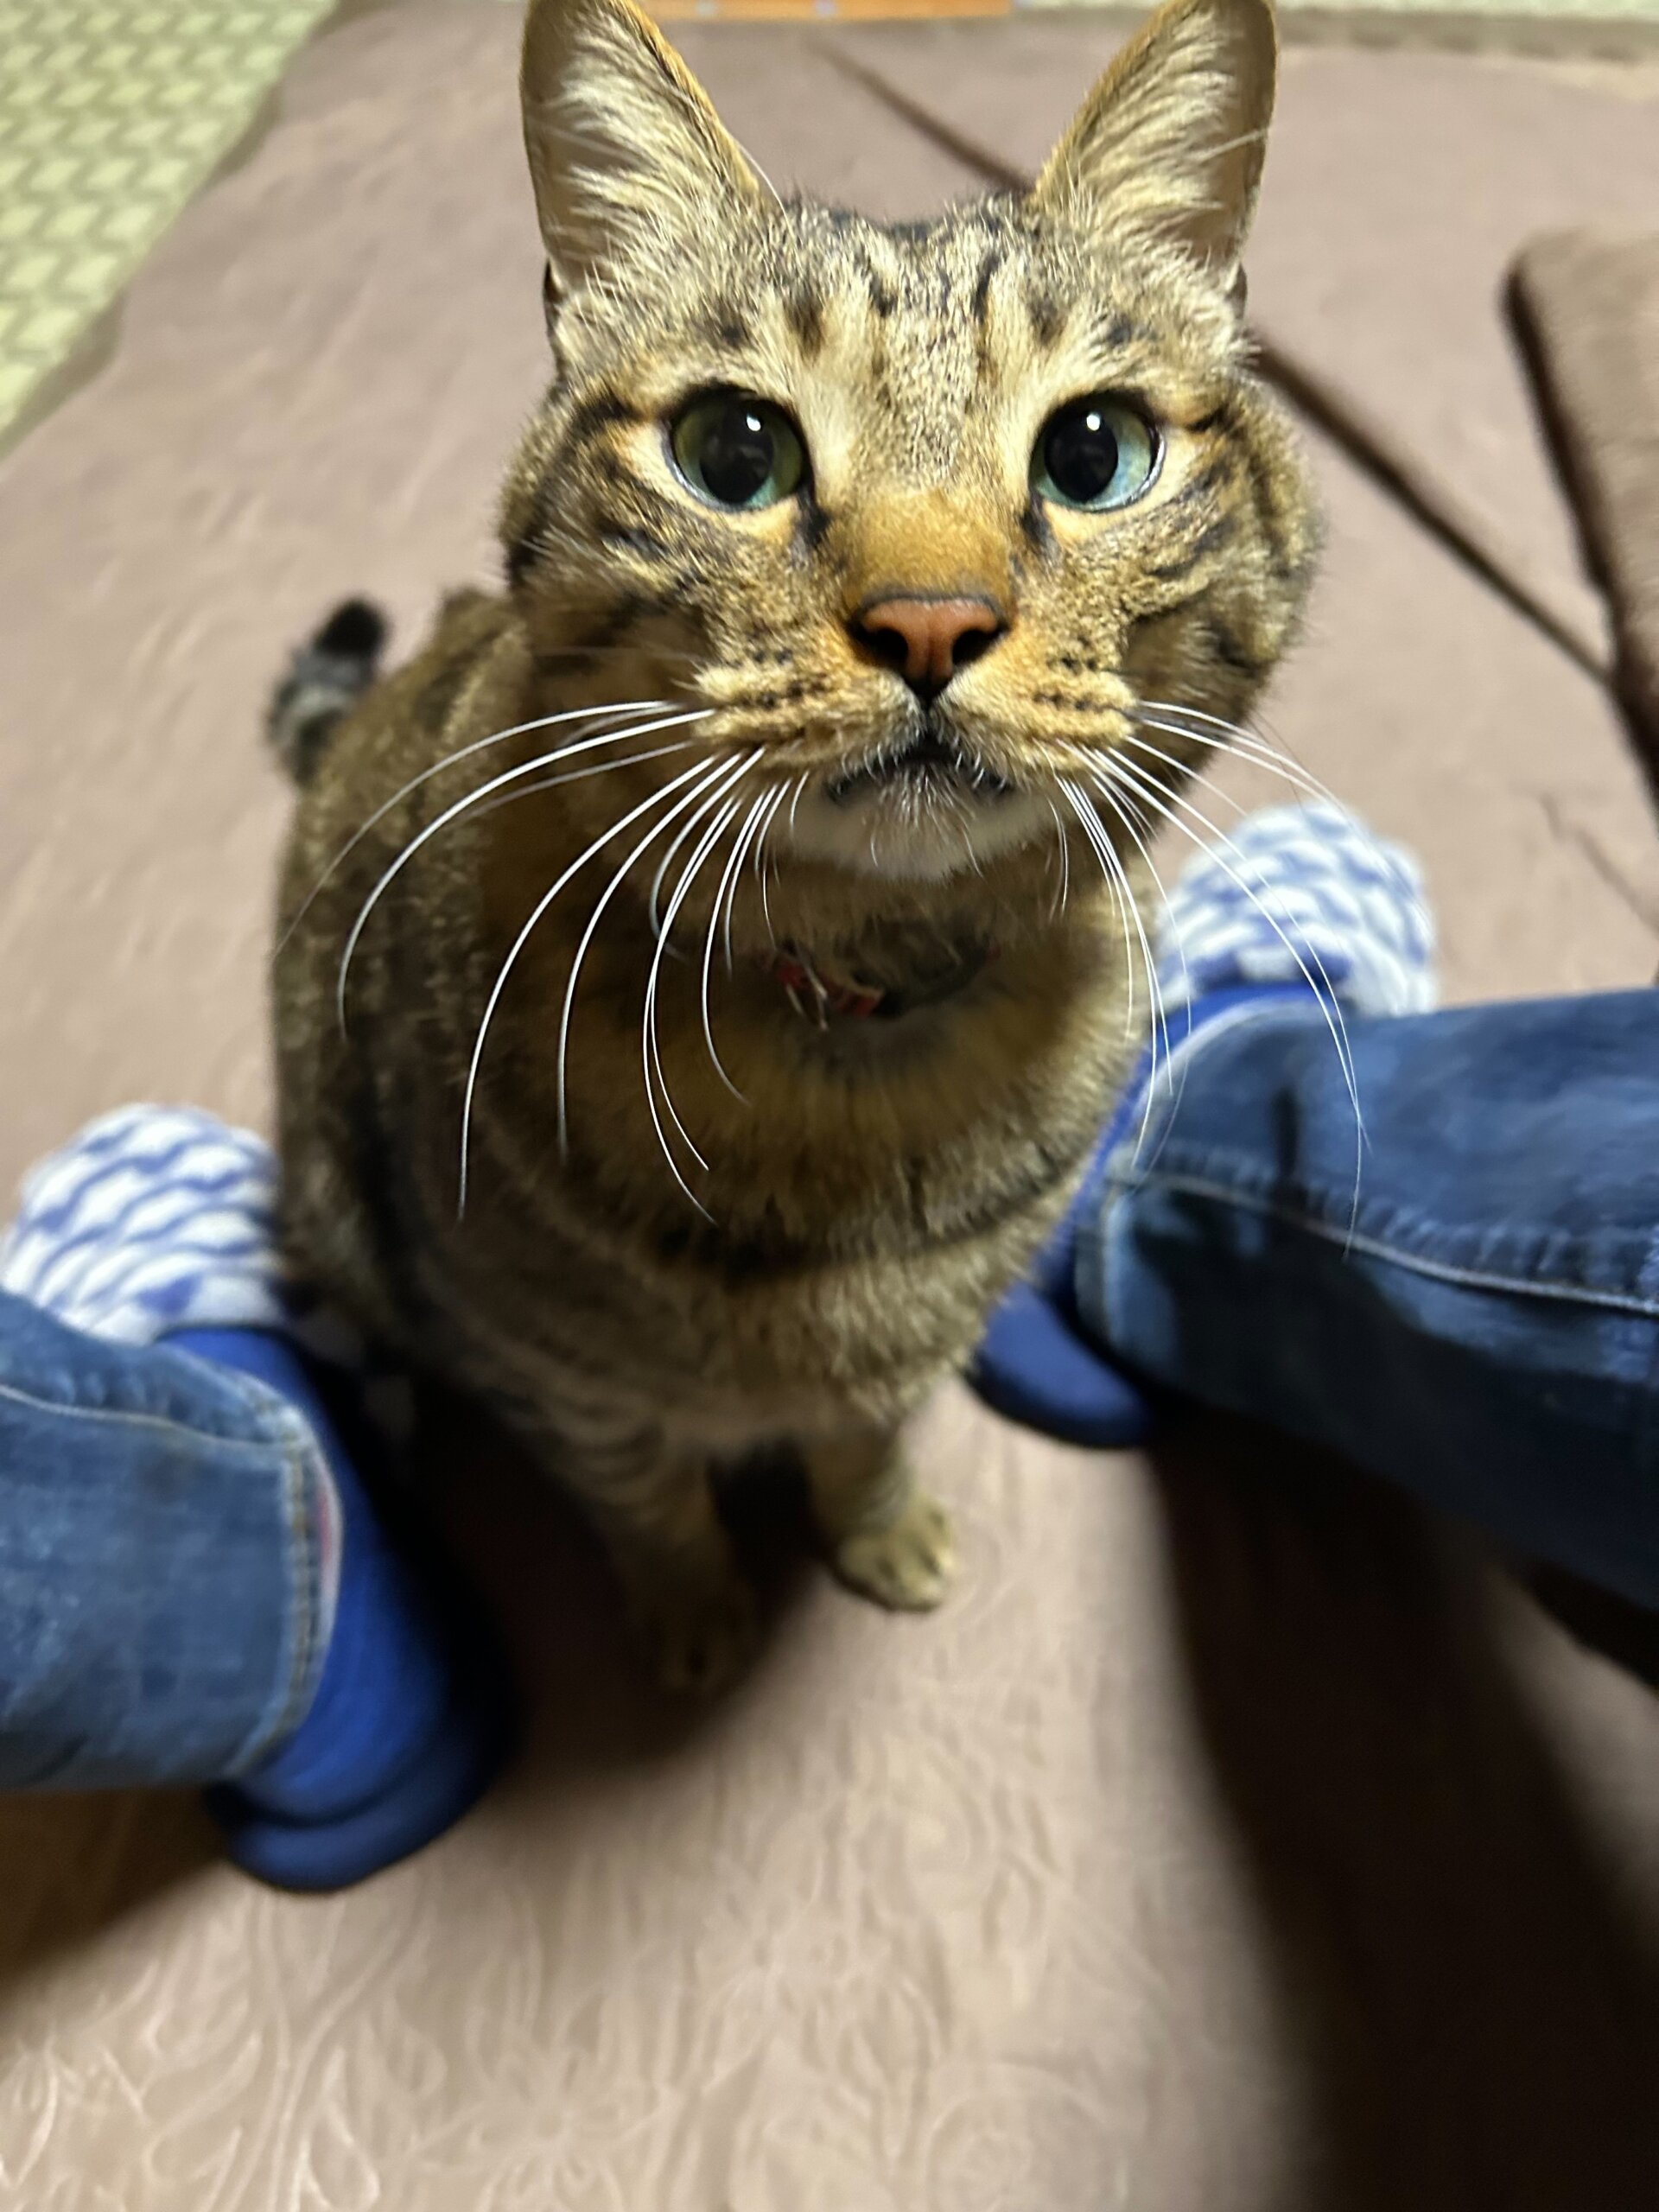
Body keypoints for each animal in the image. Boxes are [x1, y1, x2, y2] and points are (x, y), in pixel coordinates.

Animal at [271, 0, 1317, 1692]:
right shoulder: (555, 1372)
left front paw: (878, 1528)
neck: (853, 1030)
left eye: (1094, 451)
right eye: (733, 450)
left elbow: (869, 1438)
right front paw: (695, 1611)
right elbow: (644, 1495)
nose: (931, 621)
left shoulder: (909, 1353)